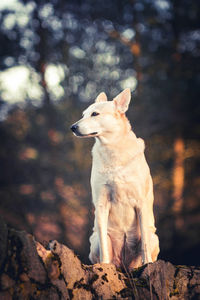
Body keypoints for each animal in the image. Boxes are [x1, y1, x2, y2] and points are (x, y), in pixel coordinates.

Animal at [70, 88, 159, 270]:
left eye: (95, 114)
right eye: (83, 114)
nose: (72, 127)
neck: (113, 149)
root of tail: (123, 265)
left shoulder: (140, 202)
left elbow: (145, 244)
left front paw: (147, 263)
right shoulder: (101, 204)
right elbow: (104, 246)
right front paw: (104, 265)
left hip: (154, 236)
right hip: (94, 240)